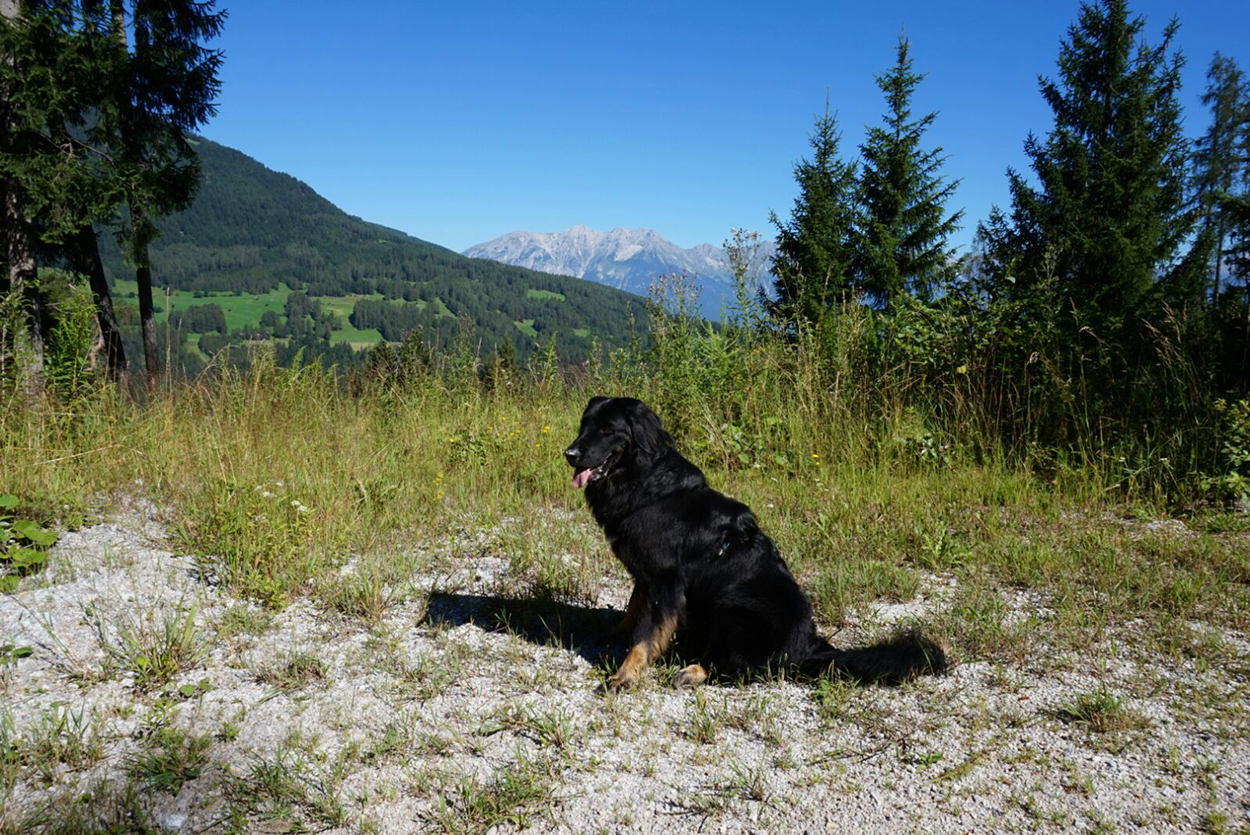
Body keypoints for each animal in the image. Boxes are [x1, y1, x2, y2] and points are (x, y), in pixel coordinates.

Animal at [565, 396, 946, 690]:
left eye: (608, 430)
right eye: (584, 424)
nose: (569, 453)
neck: (646, 484)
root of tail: (809, 647)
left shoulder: (665, 580)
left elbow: (646, 634)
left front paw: (626, 675)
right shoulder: (646, 576)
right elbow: (634, 612)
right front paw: (614, 635)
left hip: (733, 607)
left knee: (746, 668)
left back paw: (694, 671)